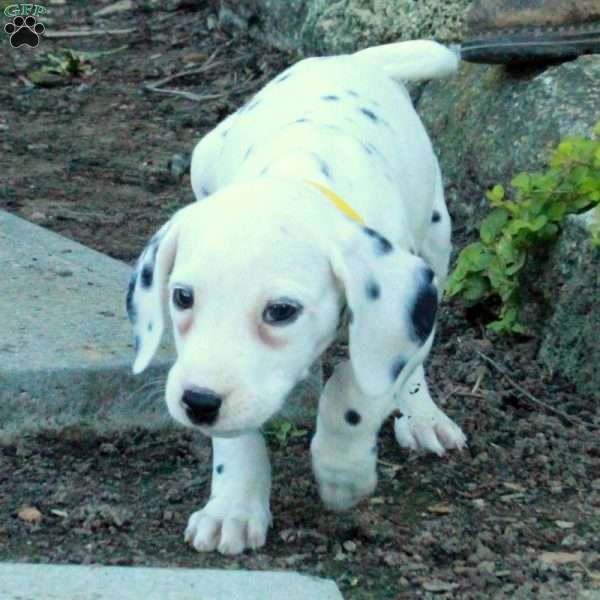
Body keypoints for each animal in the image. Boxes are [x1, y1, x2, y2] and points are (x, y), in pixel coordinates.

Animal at [126, 39, 466, 556]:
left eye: (281, 312)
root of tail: (354, 59)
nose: (198, 402)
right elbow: (236, 436)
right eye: (182, 297)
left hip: (436, 240)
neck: (303, 171)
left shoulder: (402, 313)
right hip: (203, 157)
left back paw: (423, 416)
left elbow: (355, 387)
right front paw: (233, 506)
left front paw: (343, 473)